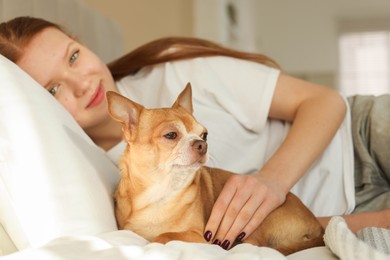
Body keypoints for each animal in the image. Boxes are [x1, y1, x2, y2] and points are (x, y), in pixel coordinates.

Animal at [105, 83, 324, 256]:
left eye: (204, 134)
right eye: (171, 135)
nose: (202, 144)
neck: (160, 193)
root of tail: (318, 227)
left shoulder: (198, 236)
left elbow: (164, 235)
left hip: (258, 220)